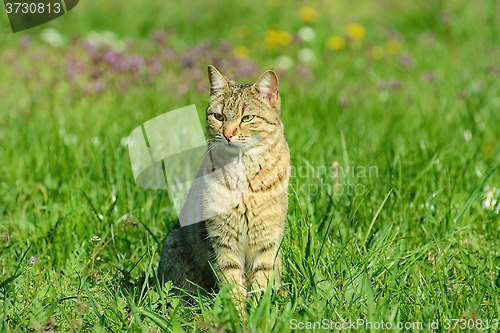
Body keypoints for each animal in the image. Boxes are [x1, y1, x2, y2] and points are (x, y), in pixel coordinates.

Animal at [156, 64, 290, 304]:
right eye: (218, 116)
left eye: (247, 118)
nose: (227, 134)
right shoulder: (222, 242)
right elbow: (232, 283)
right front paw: (238, 311)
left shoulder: (267, 240)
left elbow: (261, 280)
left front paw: (259, 308)